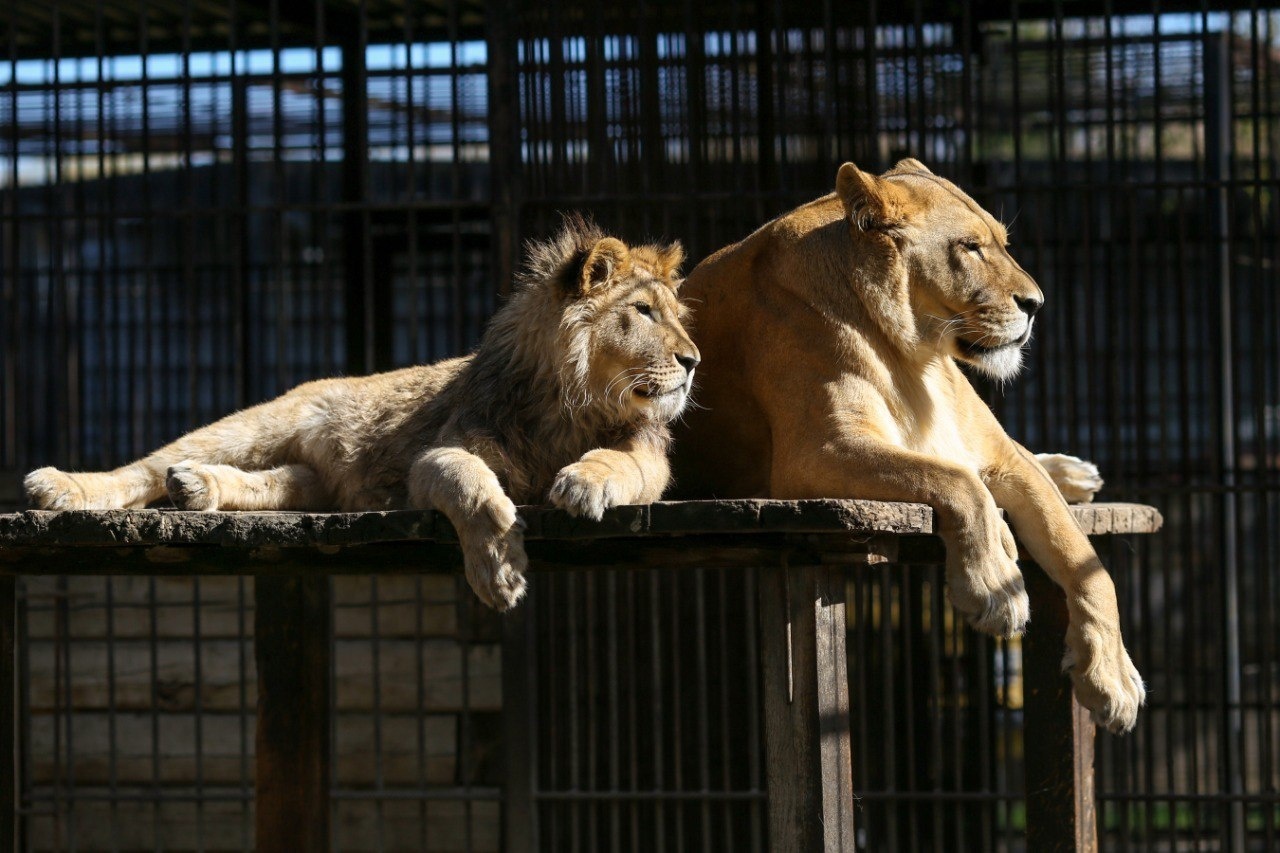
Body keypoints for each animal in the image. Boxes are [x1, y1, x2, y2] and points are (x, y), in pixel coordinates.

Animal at [22, 216, 701, 607]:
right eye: (642, 312)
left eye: (676, 314)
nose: (694, 360)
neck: (568, 402)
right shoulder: (439, 455)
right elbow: (471, 485)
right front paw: (498, 567)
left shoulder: (651, 460)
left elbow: (623, 464)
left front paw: (585, 481)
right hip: (254, 424)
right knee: (142, 469)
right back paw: (61, 486)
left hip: (317, 481)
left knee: (282, 482)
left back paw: (196, 488)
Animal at [675, 157, 1146, 732]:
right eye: (969, 247)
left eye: (1001, 241)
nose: (1036, 304)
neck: (914, 354)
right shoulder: (816, 454)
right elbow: (956, 480)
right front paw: (995, 583)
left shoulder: (1005, 459)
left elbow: (1085, 561)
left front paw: (1112, 680)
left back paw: (1076, 474)